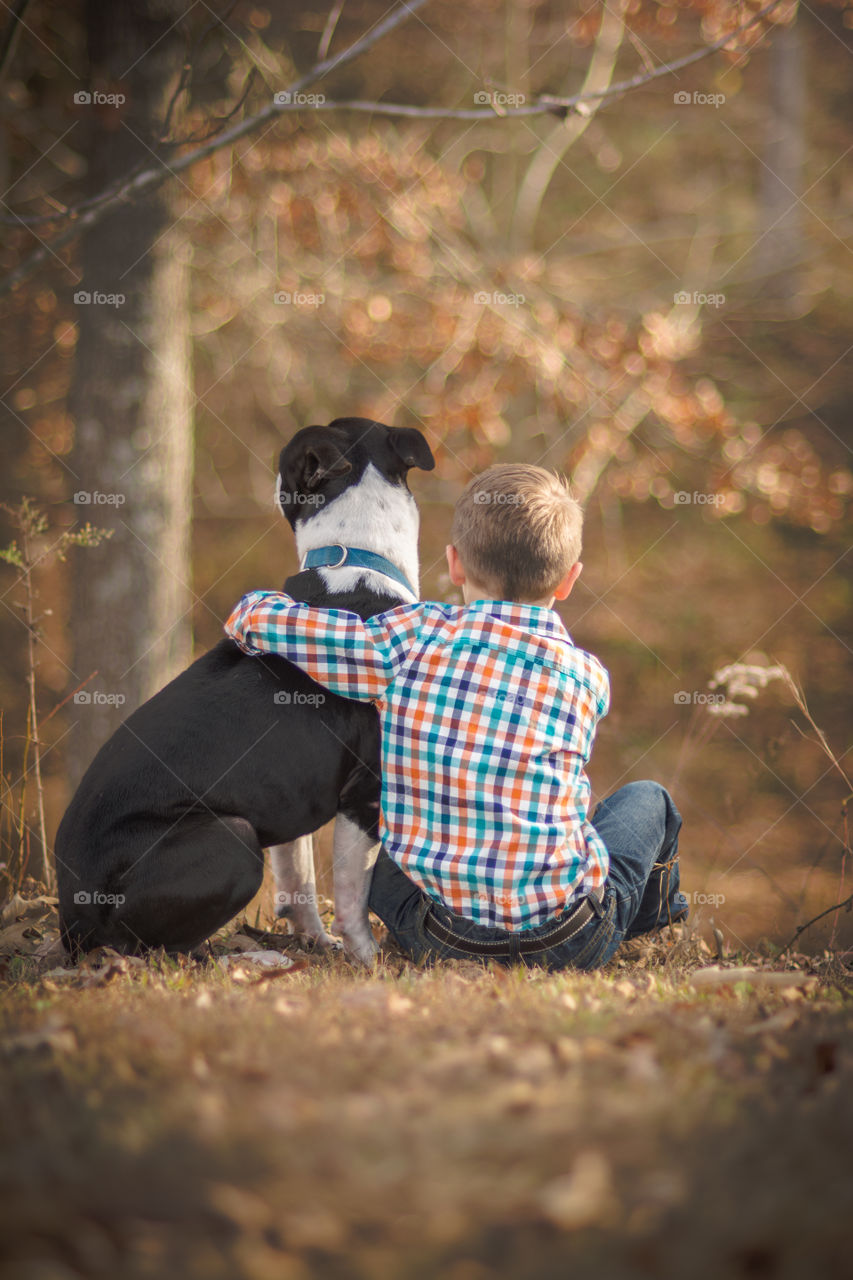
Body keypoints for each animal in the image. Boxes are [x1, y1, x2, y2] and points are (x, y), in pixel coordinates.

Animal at [54, 414, 432, 962]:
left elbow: (299, 879)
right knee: (155, 949)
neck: (353, 556)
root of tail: (72, 921)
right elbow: (352, 896)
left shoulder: (293, 799)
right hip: (232, 837)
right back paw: (252, 956)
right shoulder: (367, 794)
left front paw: (316, 942)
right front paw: (366, 959)